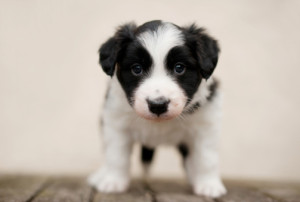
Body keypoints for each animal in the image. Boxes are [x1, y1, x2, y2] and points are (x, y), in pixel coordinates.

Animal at [88, 20, 226, 197]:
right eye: (137, 68)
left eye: (179, 68)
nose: (158, 105)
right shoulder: (115, 122)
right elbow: (116, 155)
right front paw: (113, 181)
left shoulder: (206, 124)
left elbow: (207, 158)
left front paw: (209, 185)